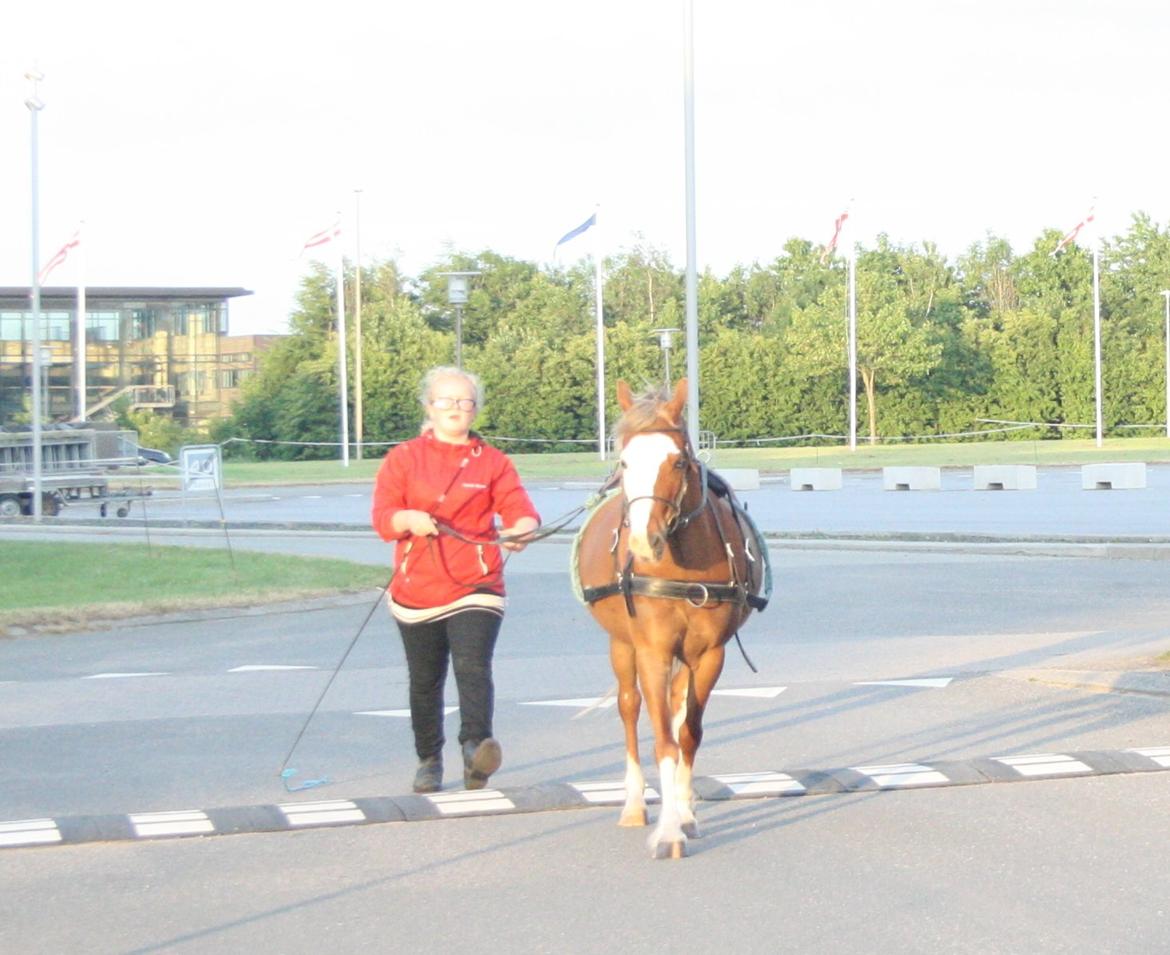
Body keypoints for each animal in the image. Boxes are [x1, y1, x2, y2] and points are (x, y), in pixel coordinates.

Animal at [573, 379, 767, 856]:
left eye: (678, 461)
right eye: (624, 461)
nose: (645, 541)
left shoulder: (710, 655)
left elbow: (688, 733)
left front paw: (684, 815)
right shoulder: (653, 650)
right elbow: (662, 737)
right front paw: (667, 831)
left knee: (679, 710)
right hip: (622, 646)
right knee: (629, 707)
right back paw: (633, 803)